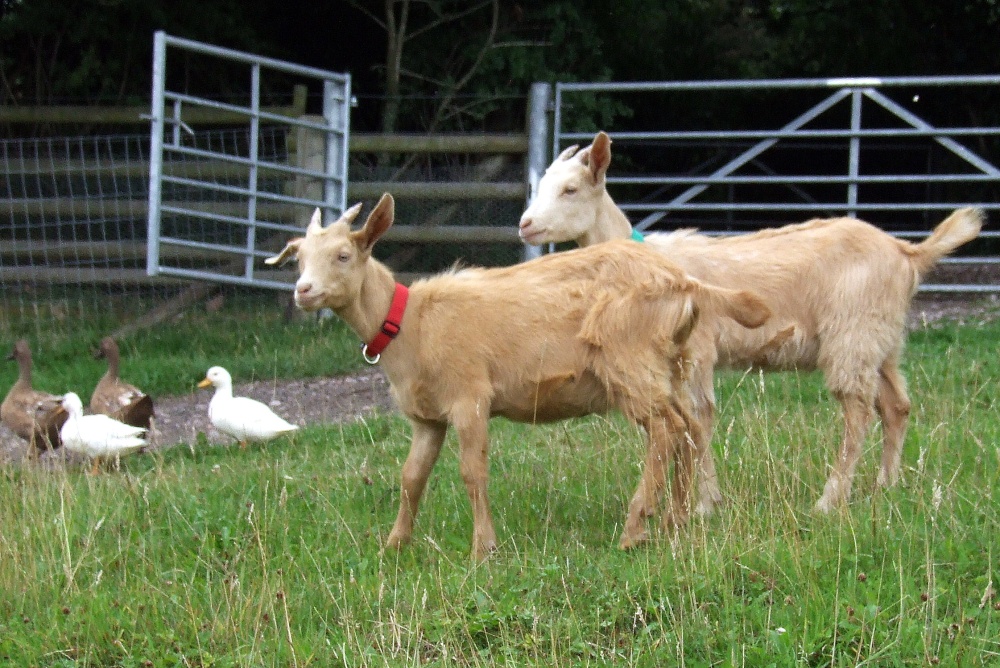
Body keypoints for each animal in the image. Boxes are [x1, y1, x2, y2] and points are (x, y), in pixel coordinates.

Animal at [262, 193, 768, 560]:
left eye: (344, 255)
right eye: (298, 259)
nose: (303, 291)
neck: (410, 324)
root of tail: (682, 281)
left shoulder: (469, 396)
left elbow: (472, 472)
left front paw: (482, 549)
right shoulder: (427, 418)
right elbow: (411, 477)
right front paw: (394, 546)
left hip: (630, 360)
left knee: (666, 429)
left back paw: (635, 529)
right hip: (669, 366)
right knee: (689, 427)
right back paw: (675, 520)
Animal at [520, 133, 988, 516]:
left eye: (570, 189)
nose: (525, 224)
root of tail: (907, 252)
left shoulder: (698, 349)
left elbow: (701, 417)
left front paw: (704, 505)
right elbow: (689, 422)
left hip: (851, 335)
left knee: (857, 414)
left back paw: (830, 500)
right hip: (882, 339)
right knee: (896, 406)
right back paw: (885, 487)